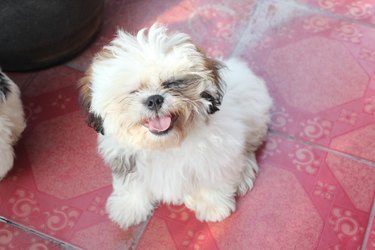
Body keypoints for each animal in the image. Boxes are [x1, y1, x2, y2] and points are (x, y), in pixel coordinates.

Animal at [79, 24, 274, 229]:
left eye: (172, 83)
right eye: (133, 90)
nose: (154, 99)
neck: (166, 145)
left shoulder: (218, 153)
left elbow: (213, 176)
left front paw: (212, 205)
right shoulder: (125, 158)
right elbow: (132, 183)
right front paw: (129, 206)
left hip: (255, 116)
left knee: (249, 148)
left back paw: (244, 172)